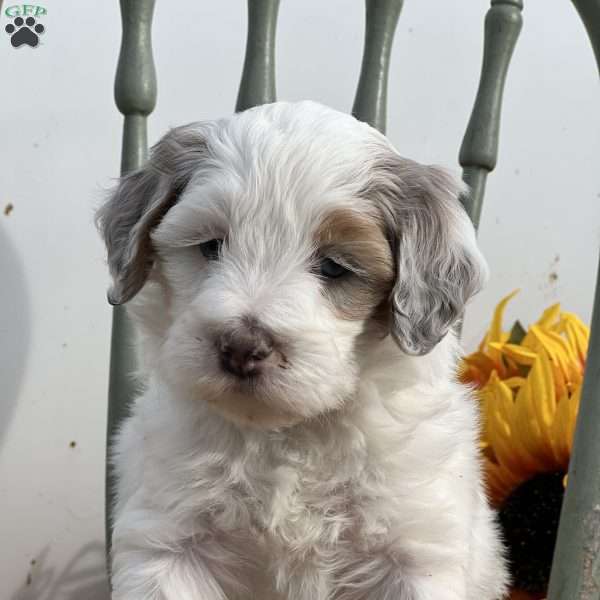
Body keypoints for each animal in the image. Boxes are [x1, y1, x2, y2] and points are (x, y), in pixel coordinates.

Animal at [97, 102, 506, 600]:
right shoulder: (167, 544)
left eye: (334, 266)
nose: (242, 347)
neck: (288, 435)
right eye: (211, 246)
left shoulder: (415, 553)